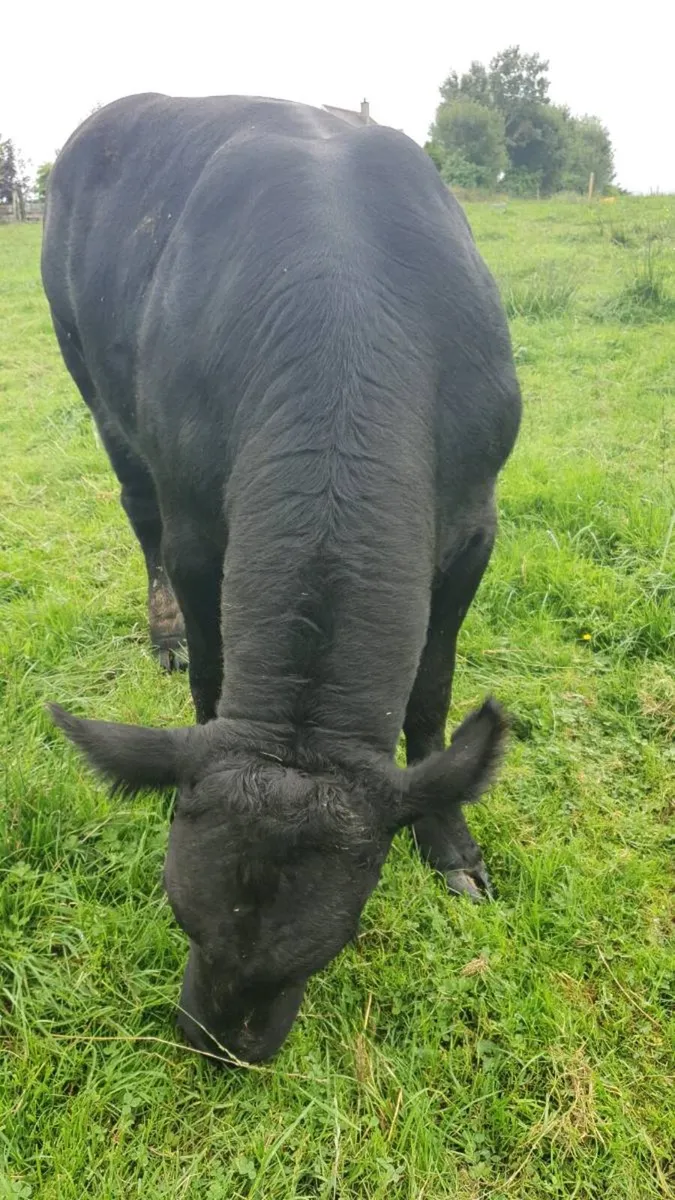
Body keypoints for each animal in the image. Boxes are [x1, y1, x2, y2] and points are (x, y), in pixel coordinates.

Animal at [42, 94, 521, 1063]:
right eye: (182, 916)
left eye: (325, 945)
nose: (223, 1046)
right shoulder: (198, 526)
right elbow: (214, 674)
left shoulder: (474, 526)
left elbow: (430, 693)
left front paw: (450, 845)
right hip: (97, 389)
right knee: (137, 510)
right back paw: (162, 635)